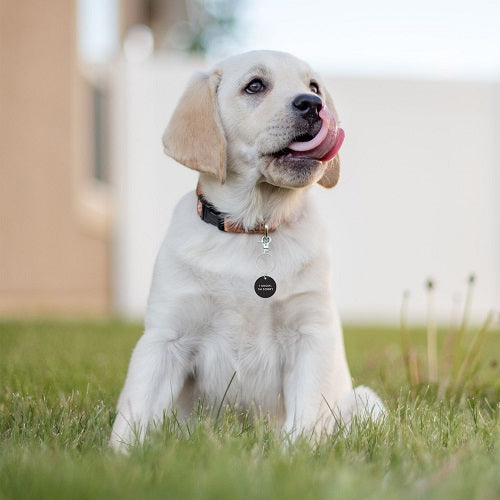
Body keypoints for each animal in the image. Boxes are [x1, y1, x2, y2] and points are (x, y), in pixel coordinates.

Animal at [110, 51, 382, 454]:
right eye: (255, 86)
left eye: (314, 87)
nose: (313, 105)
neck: (254, 228)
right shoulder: (166, 337)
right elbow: (135, 409)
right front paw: (119, 457)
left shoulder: (311, 334)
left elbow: (306, 415)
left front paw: (293, 457)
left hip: (366, 400)